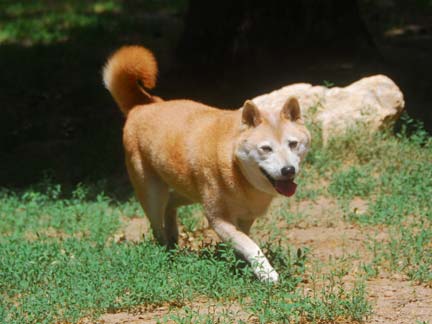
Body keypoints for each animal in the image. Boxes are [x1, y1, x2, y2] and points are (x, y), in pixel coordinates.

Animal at [102, 45, 310, 280]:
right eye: (266, 148)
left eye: (293, 144)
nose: (288, 170)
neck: (237, 171)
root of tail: (141, 106)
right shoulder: (217, 219)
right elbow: (250, 245)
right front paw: (267, 273)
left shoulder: (245, 218)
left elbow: (244, 242)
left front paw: (241, 265)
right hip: (153, 193)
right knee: (157, 226)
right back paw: (166, 253)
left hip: (190, 191)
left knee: (171, 203)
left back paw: (173, 237)